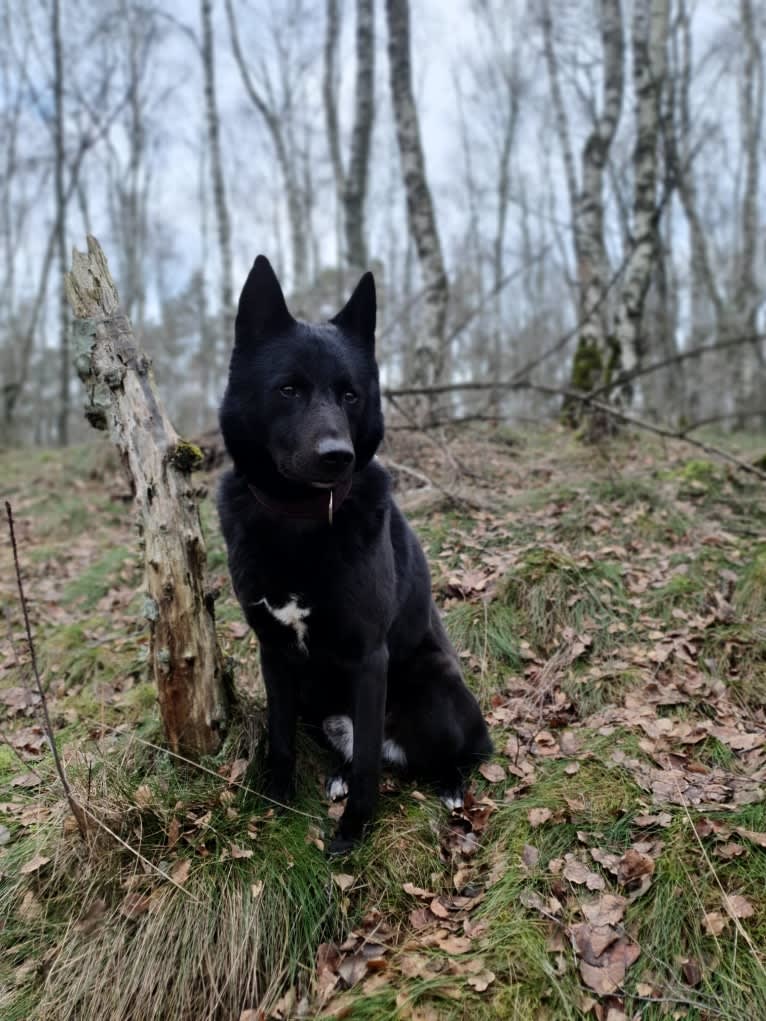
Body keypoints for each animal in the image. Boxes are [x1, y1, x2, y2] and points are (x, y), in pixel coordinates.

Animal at [217, 257, 492, 853]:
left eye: (350, 395)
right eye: (288, 389)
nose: (336, 456)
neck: (299, 521)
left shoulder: (369, 657)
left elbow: (367, 760)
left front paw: (355, 829)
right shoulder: (273, 652)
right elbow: (279, 736)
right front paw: (277, 799)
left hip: (434, 691)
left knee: (455, 753)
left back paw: (450, 786)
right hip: (317, 703)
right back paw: (339, 775)